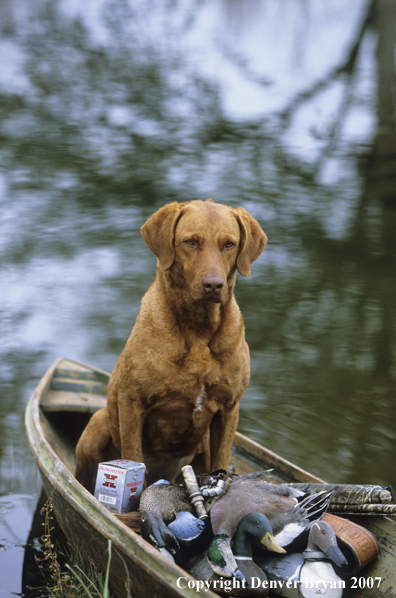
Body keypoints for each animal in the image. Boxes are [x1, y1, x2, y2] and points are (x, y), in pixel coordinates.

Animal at [75, 200, 266, 492]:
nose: (213, 285)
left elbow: (222, 458)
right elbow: (133, 455)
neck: (198, 329)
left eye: (229, 244)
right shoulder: (132, 402)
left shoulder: (229, 408)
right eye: (190, 242)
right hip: (97, 424)